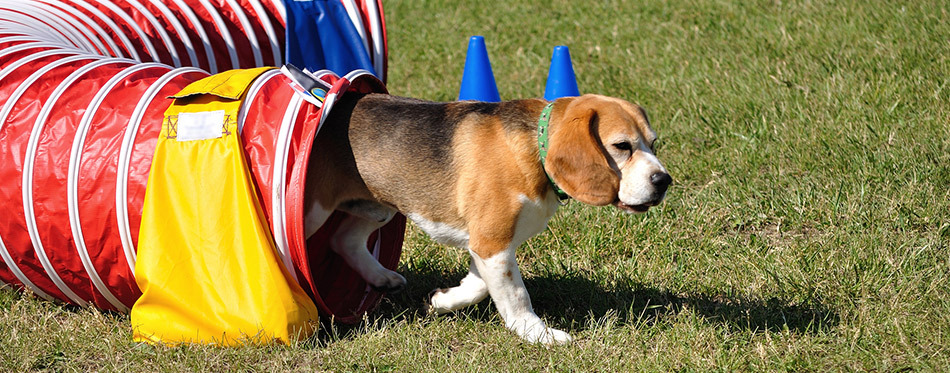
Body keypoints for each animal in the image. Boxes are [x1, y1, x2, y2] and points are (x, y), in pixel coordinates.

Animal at [304, 93, 668, 342]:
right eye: (621, 146)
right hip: (317, 210)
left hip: (379, 206)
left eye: (653, 144)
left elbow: (480, 286)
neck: (534, 146)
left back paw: (382, 278)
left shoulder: (489, 245)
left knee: (343, 239)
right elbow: (517, 295)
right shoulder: (492, 242)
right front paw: (537, 333)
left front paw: (443, 301)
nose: (664, 181)